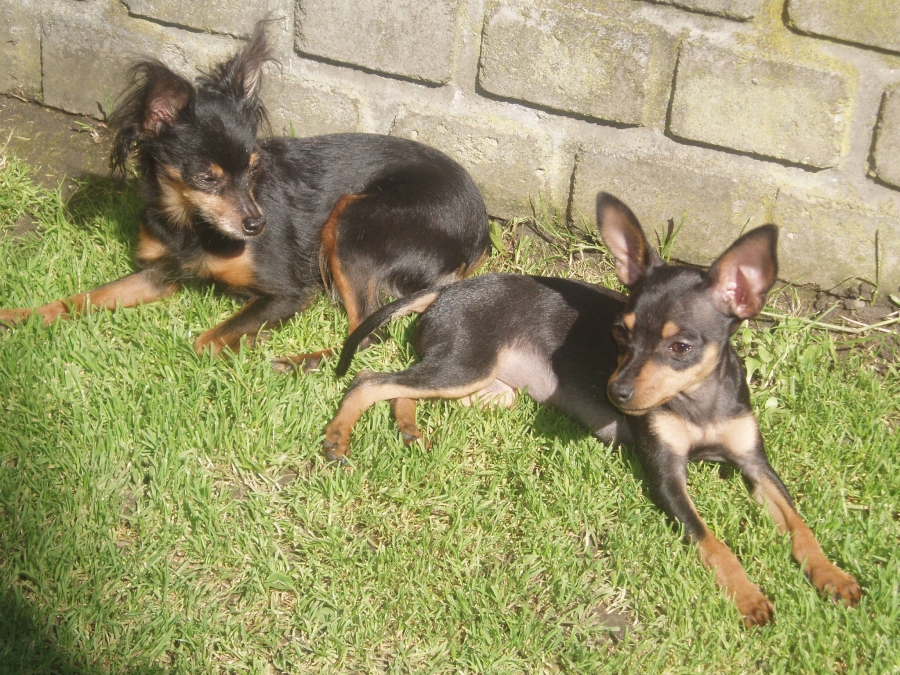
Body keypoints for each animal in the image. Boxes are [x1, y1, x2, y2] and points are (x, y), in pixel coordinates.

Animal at [0, 22, 489, 366]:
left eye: (254, 169)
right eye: (208, 178)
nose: (257, 224)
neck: (190, 223)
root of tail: (480, 232)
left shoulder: (288, 293)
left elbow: (207, 339)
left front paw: (242, 347)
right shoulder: (159, 272)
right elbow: (84, 298)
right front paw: (20, 317)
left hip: (352, 223)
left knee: (368, 333)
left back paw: (299, 363)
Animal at [322, 191, 861, 626]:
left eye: (682, 347)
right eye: (621, 333)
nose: (615, 393)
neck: (697, 404)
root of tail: (448, 288)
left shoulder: (755, 463)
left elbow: (800, 524)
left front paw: (832, 575)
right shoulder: (667, 477)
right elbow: (715, 543)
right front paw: (749, 597)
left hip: (478, 380)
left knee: (401, 388)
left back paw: (408, 427)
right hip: (465, 367)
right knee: (369, 381)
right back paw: (338, 436)